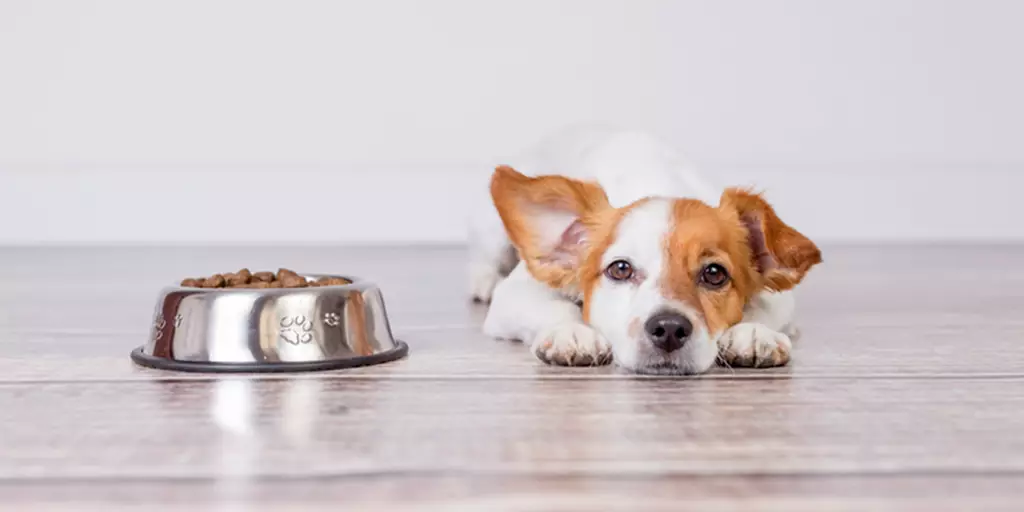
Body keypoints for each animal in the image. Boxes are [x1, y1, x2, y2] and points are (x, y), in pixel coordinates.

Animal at [468, 126, 819, 376]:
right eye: (620, 269)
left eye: (714, 273)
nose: (669, 329)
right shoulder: (516, 293)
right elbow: (557, 308)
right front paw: (573, 332)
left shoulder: (779, 298)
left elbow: (762, 310)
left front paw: (752, 333)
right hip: (495, 237)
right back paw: (482, 281)